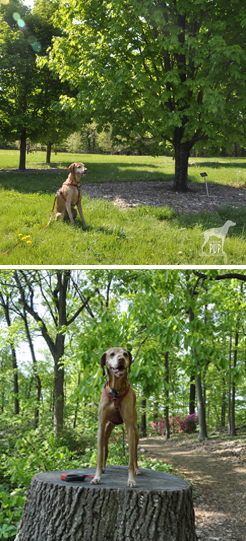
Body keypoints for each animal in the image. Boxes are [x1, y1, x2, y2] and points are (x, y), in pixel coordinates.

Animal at [91, 348, 140, 488]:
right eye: (112, 354)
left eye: (125, 354)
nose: (121, 359)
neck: (116, 390)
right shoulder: (101, 426)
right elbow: (100, 455)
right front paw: (97, 477)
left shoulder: (129, 428)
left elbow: (130, 459)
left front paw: (131, 479)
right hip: (106, 431)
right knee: (106, 449)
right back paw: (103, 468)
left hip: (136, 432)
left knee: (135, 454)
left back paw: (137, 469)